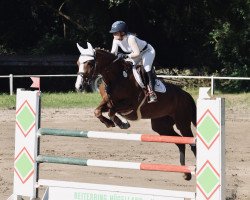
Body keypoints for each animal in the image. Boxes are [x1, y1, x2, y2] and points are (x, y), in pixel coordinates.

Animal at [75, 41, 196, 180]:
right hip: (161, 126)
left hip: (182, 122)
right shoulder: (107, 102)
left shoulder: (131, 105)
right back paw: (186, 173)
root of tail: (185, 95)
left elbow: (112, 111)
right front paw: (110, 123)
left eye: (89, 63)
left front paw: (122, 123)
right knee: (180, 142)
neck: (117, 78)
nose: (78, 86)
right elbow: (98, 111)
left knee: (192, 142)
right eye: (78, 63)